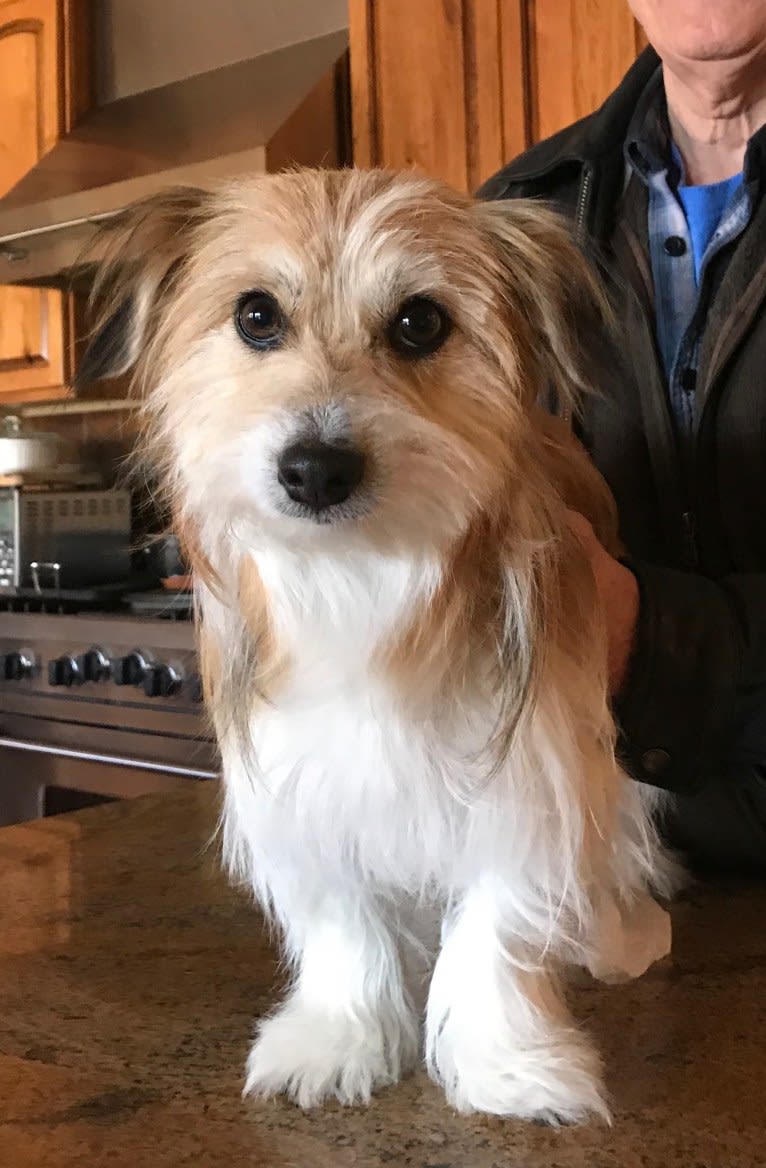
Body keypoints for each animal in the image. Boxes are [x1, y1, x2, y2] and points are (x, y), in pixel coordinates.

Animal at [82, 169, 677, 1125]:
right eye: (256, 316)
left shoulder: (532, 768)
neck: (357, 572)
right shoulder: (305, 781)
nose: (315, 469)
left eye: (420, 322)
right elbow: (342, 924)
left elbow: (500, 922)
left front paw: (507, 1062)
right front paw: (340, 1039)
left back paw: (618, 932)